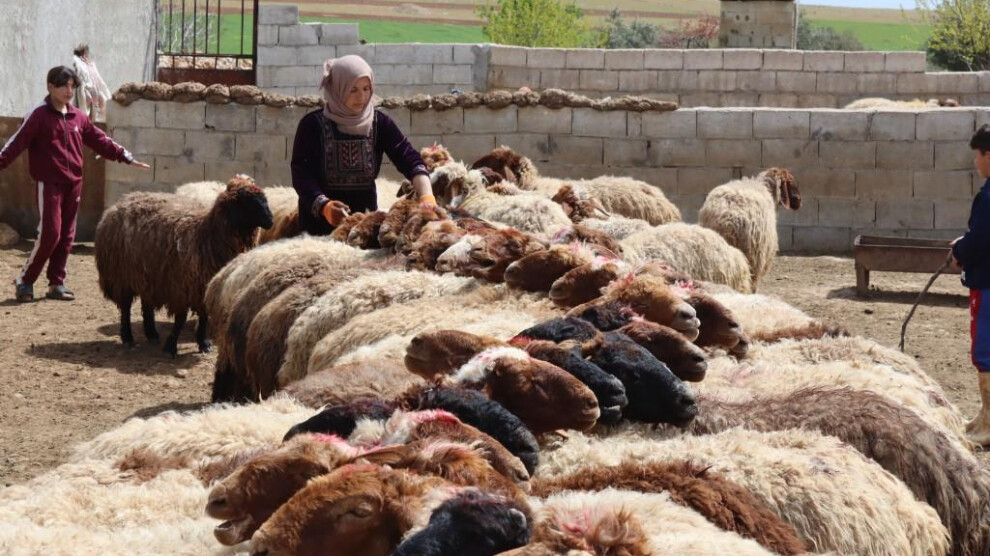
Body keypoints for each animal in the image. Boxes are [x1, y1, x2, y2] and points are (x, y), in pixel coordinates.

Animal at [95, 175, 274, 356]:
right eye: (247, 201)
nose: (270, 220)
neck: (205, 236)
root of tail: (122, 201)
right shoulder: (181, 287)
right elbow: (181, 319)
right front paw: (171, 346)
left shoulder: (204, 288)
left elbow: (203, 317)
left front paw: (203, 343)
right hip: (121, 276)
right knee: (125, 307)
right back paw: (128, 337)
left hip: (148, 274)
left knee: (146, 303)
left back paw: (151, 333)